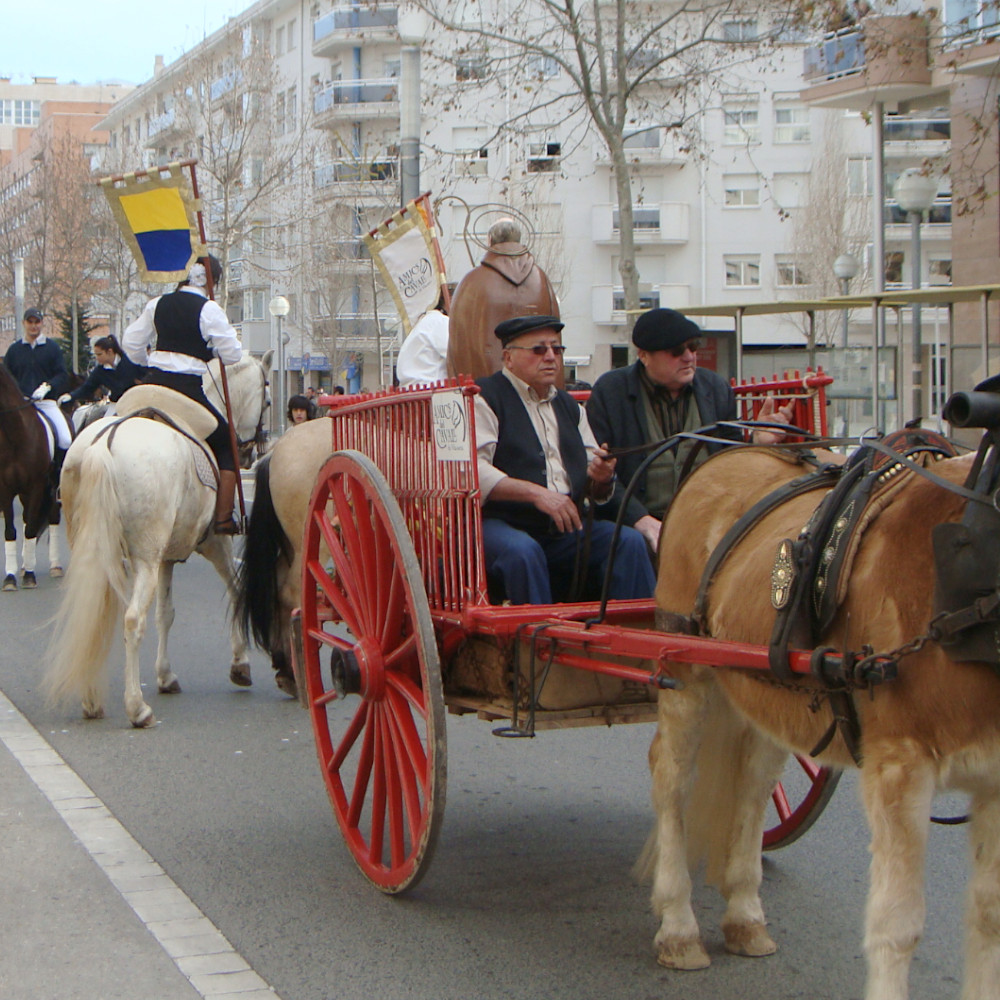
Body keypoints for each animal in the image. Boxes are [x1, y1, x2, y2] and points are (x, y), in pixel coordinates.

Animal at [0, 364, 64, 588]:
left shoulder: (36, 485)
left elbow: (29, 530)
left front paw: (29, 575)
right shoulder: (5, 489)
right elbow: (11, 531)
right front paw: (10, 577)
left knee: (51, 518)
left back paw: (54, 566)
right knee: (29, 518)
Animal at [46, 352, 270, 728]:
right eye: (268, 397)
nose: (254, 452)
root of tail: (103, 444)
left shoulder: (167, 555)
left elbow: (166, 613)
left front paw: (165, 676)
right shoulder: (214, 544)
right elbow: (235, 590)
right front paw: (240, 664)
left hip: (98, 552)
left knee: (92, 612)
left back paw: (92, 700)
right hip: (145, 559)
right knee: (132, 619)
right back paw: (137, 707)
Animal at [640, 444, 1000, 1000]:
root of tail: (727, 452)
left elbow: (987, 918)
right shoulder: (900, 768)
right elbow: (898, 925)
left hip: (765, 688)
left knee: (753, 784)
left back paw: (744, 913)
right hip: (686, 672)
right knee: (672, 780)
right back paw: (678, 925)